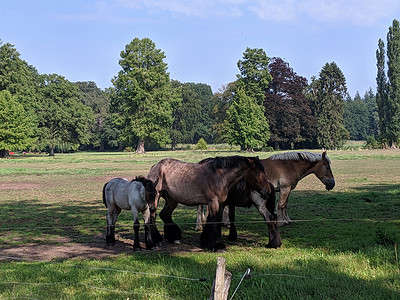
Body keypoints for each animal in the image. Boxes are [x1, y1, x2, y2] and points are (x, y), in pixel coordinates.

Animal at [147, 155, 282, 251]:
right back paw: (155, 241)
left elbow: (214, 221)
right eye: (257, 172)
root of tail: (155, 166)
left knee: (164, 215)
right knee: (152, 217)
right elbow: (214, 222)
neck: (219, 175)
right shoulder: (214, 202)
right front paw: (215, 245)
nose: (267, 191)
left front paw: (210, 242)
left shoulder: (219, 203)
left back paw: (173, 237)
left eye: (263, 171)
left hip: (171, 200)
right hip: (156, 197)